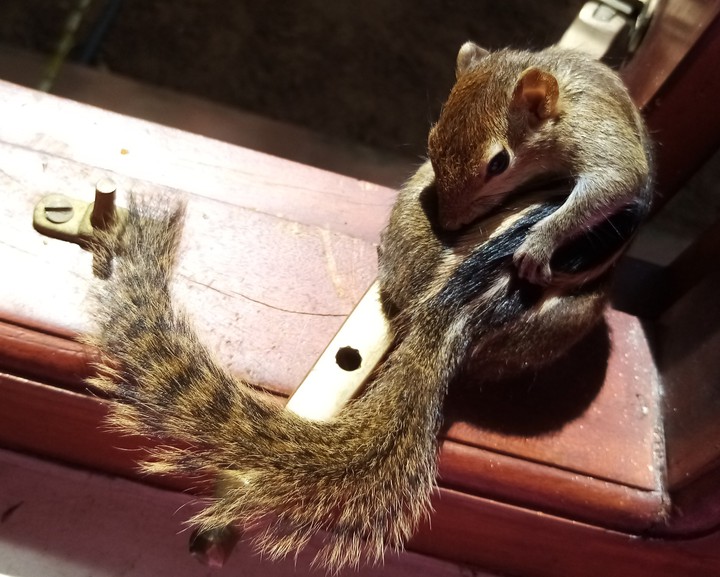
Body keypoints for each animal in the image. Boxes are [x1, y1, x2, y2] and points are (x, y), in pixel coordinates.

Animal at [427, 42, 653, 286]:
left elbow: (622, 173)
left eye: (499, 163)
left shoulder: (591, 125)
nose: (448, 223)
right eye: (431, 141)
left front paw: (539, 244)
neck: (560, 110)